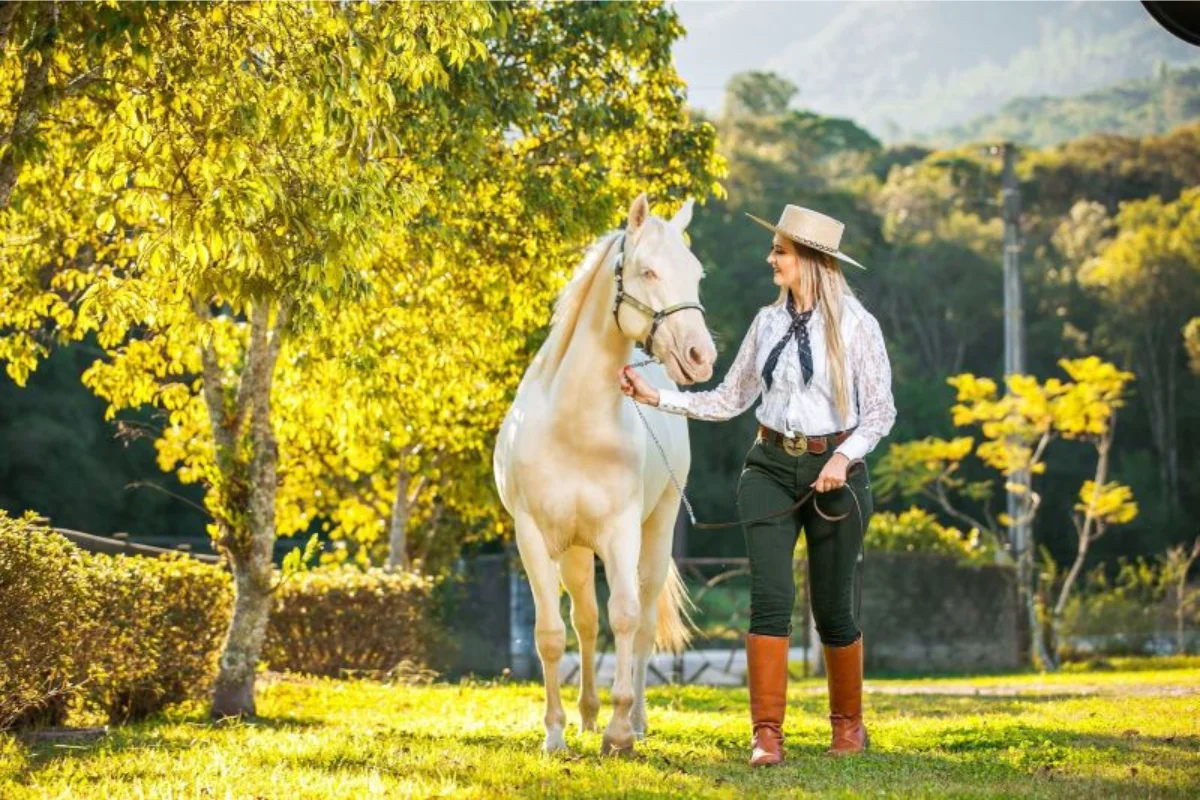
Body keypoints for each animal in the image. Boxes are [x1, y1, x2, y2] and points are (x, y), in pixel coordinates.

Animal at [492, 194, 715, 758]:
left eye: (695, 273)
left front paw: (619, 733)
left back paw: (633, 719)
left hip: (655, 532)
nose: (700, 357)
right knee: (585, 621)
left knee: (641, 619)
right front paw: (555, 733)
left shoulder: (620, 533)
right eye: (647, 270)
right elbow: (552, 633)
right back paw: (587, 716)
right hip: (573, 550)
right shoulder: (533, 537)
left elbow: (627, 618)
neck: (574, 424)